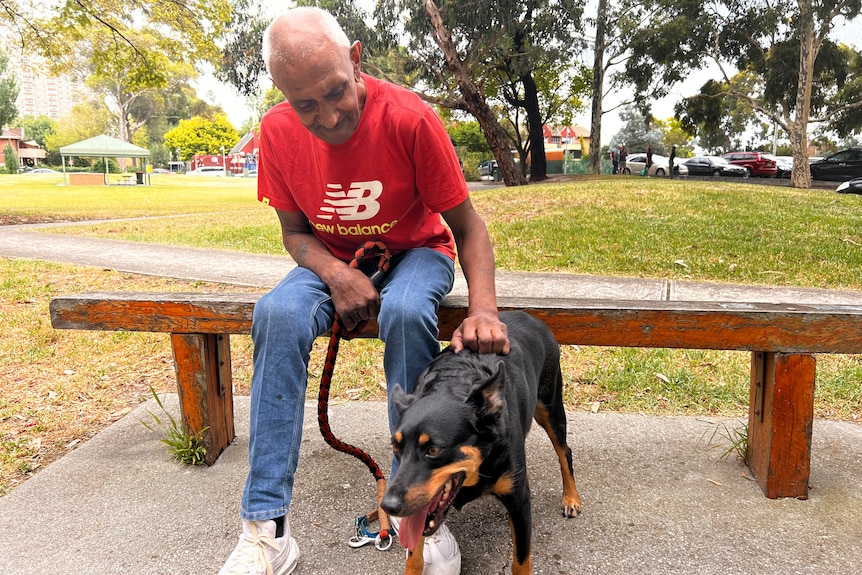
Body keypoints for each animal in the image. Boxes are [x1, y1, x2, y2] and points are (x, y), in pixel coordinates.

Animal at [382, 312, 584, 572]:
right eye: (396, 448)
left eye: (433, 450)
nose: (388, 506)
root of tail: (529, 316)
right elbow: (414, 556)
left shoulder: (519, 500)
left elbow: (521, 560)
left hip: (550, 407)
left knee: (564, 451)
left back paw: (571, 498)